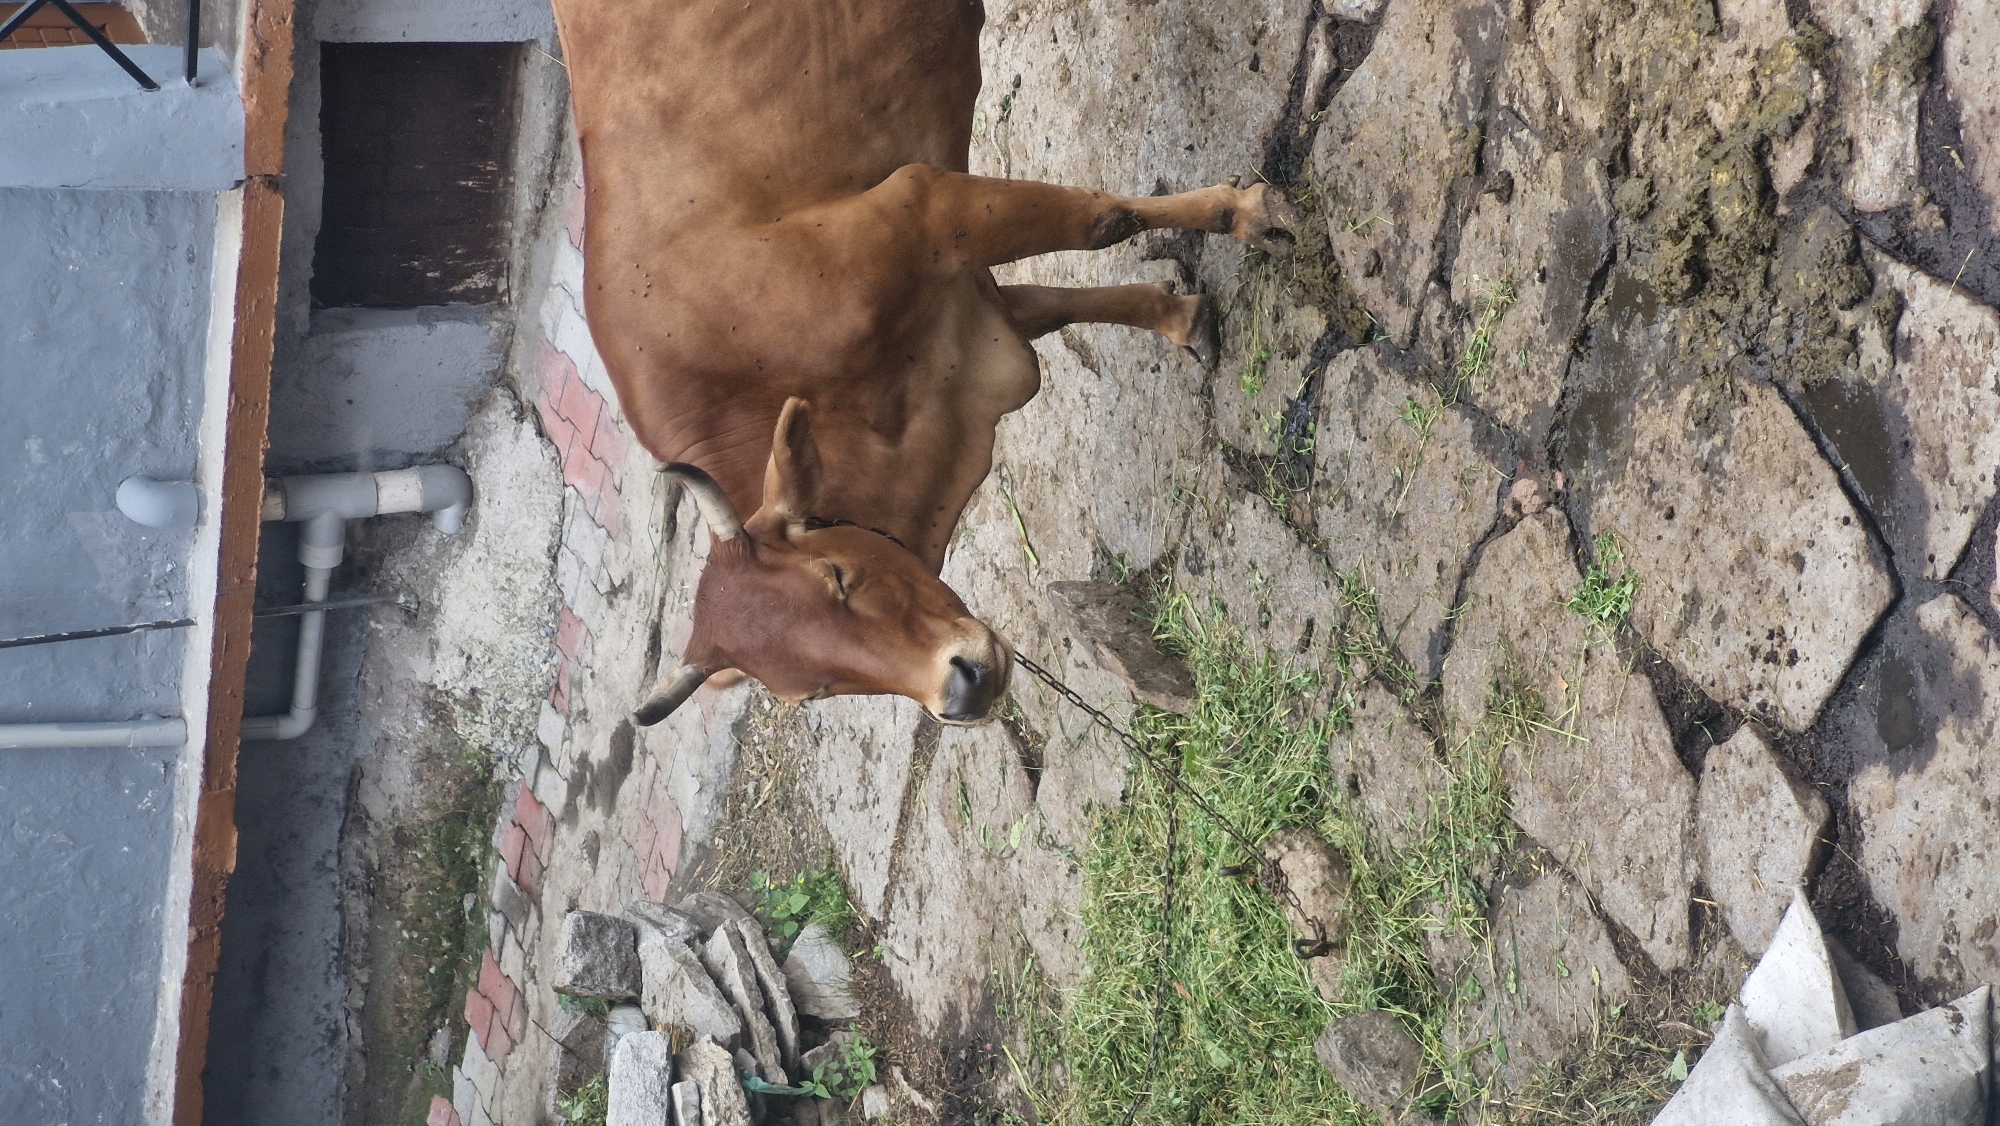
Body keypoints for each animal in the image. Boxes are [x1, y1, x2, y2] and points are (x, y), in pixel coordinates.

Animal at [548, 0, 1299, 725]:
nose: (964, 691)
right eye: (809, 693)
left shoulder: (926, 205)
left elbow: (1100, 222)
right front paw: (1180, 315)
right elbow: (1057, 304)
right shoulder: (979, 320)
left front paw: (1247, 212)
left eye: (837, 574)